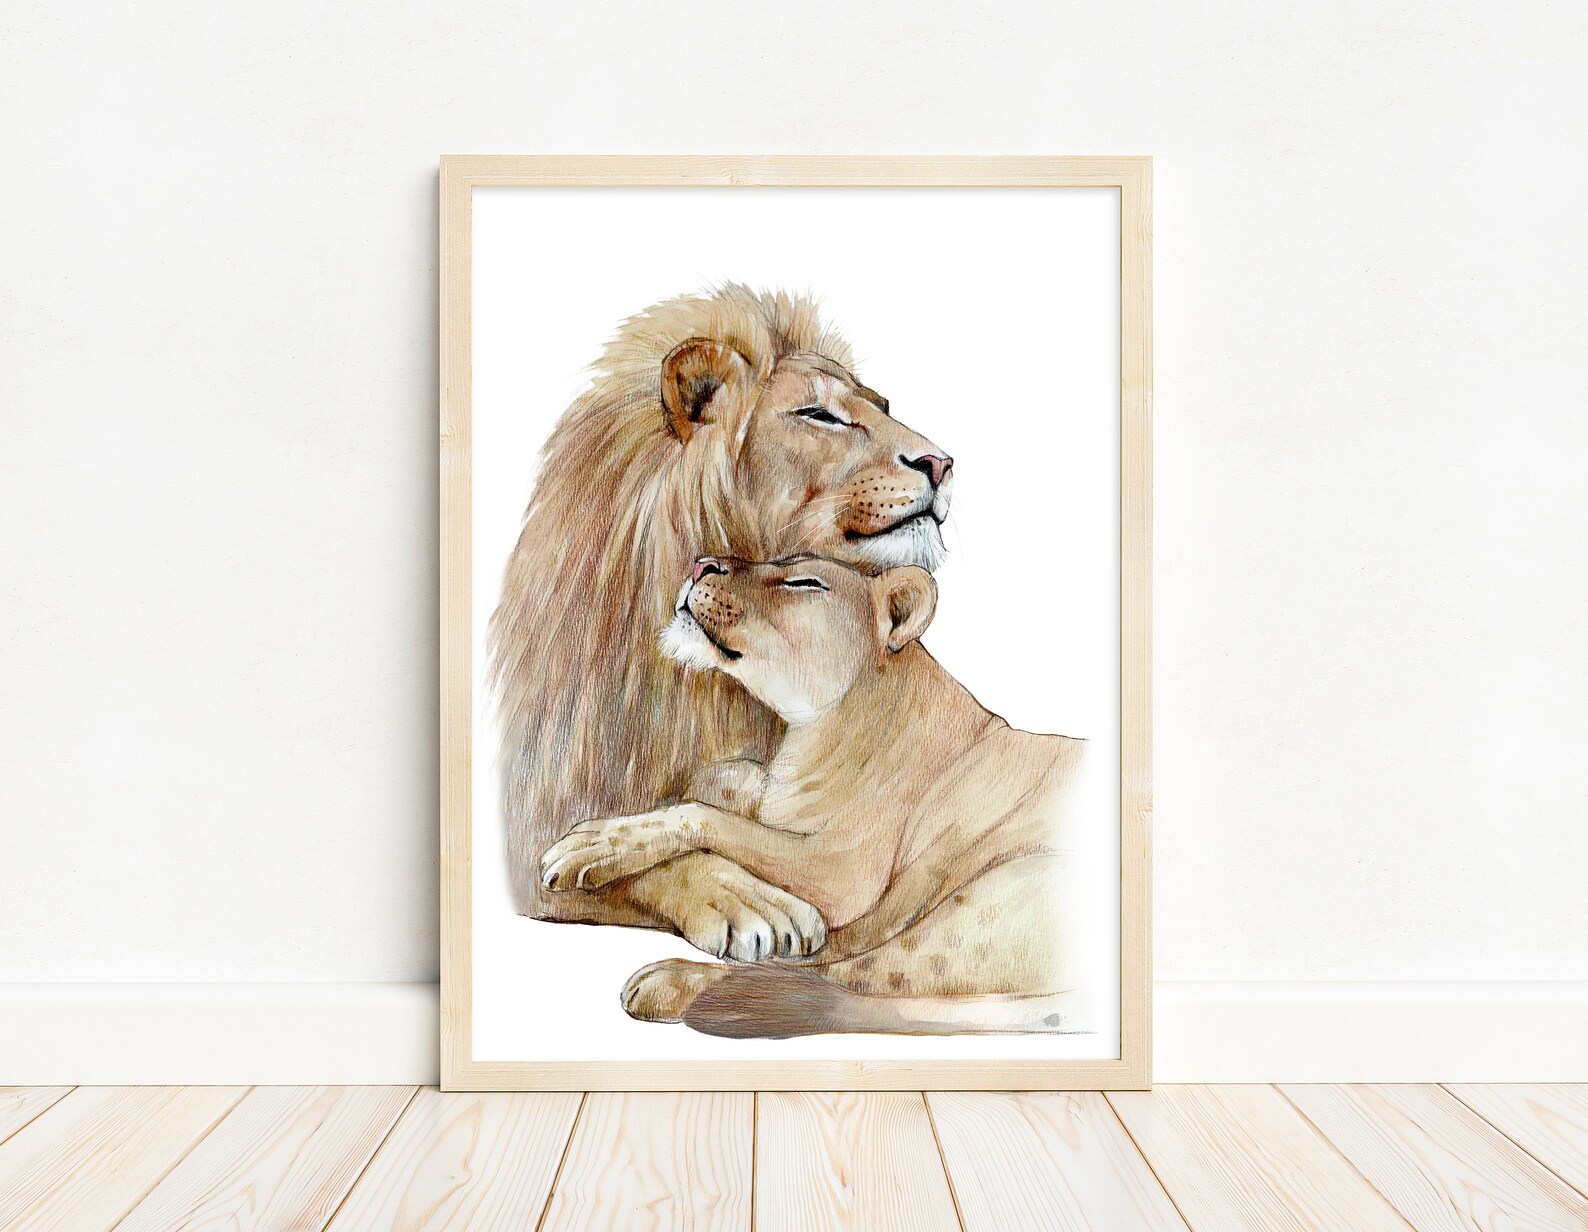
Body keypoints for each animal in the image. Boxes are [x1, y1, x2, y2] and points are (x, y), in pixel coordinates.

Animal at [539, 555, 1089, 1037]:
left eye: (804, 582)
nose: (700, 563)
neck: (806, 735)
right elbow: (724, 782)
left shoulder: (843, 874)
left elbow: (707, 816)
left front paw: (586, 844)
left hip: (991, 897)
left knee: (849, 974)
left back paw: (672, 984)